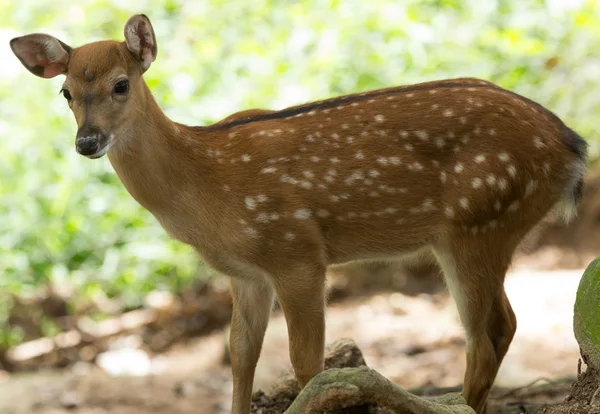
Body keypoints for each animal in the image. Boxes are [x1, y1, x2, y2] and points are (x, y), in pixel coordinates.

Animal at [11, 13, 588, 414]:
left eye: (121, 84)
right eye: (66, 91)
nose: (88, 142)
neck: (207, 184)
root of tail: (573, 146)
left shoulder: (297, 253)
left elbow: (309, 364)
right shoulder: (246, 274)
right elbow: (241, 354)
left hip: (478, 221)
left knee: (483, 341)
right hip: (487, 229)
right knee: (505, 325)